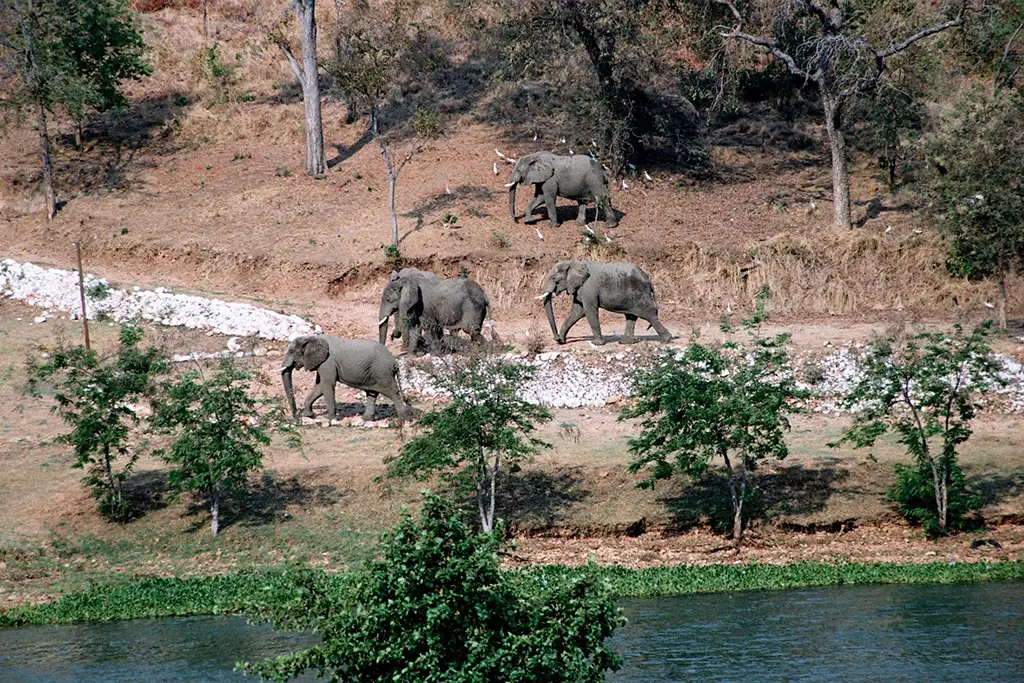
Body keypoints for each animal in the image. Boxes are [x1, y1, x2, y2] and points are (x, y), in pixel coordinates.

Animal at [280, 334, 411, 422]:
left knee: (392, 392)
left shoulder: (328, 362)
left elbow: (327, 385)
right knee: (372, 393)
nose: (296, 417)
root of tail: (394, 361)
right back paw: (366, 419)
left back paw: (404, 417)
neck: (311, 337)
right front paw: (309, 416)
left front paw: (331, 420)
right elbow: (319, 386)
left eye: (291, 351)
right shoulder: (321, 363)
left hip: (382, 371)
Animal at [537, 260, 673, 345]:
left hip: (639, 293)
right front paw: (562, 341)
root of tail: (649, 280)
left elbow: (589, 310)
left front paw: (597, 344)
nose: (556, 338)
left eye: (554, 278)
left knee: (648, 314)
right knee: (631, 315)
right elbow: (577, 312)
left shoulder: (588, 288)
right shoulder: (579, 288)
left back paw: (666, 340)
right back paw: (625, 342)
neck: (572, 262)